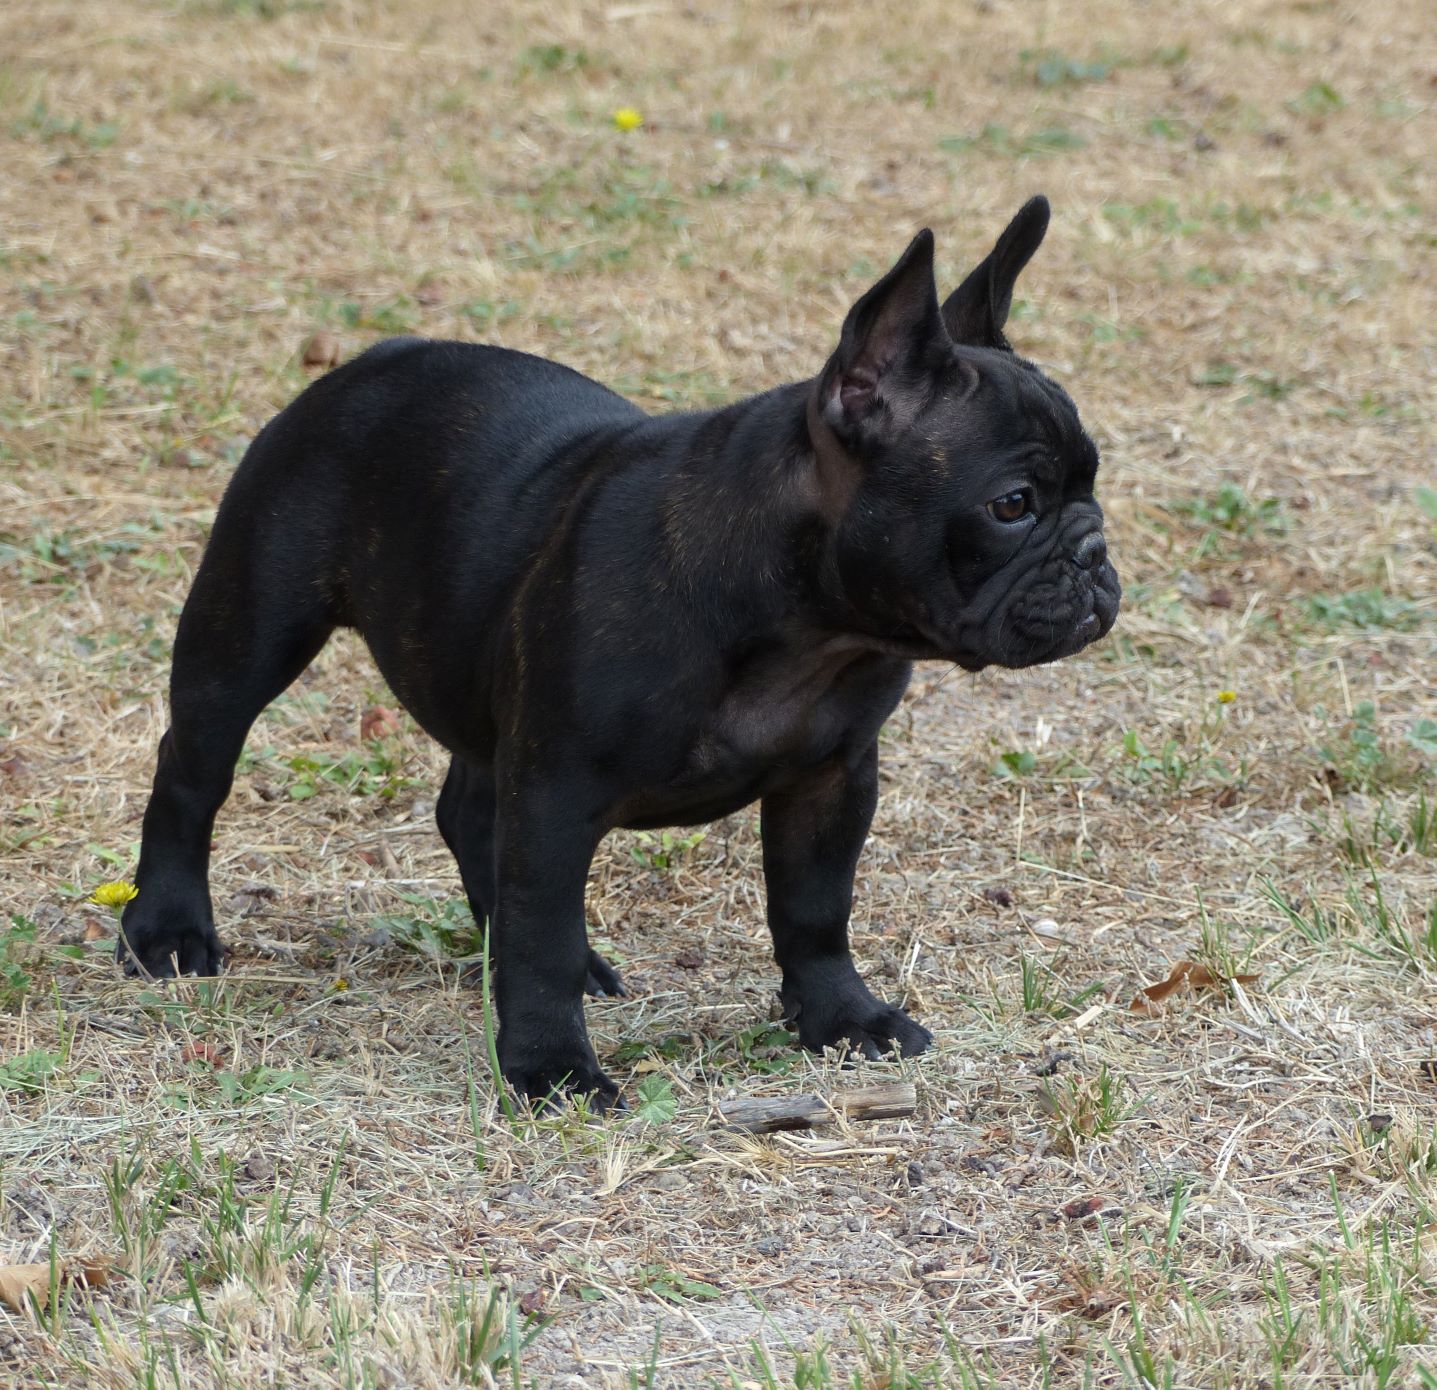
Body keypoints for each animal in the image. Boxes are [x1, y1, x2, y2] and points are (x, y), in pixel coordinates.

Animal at [117, 198, 1115, 1109]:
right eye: (1013, 505)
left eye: (1092, 483)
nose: (1095, 554)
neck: (806, 627)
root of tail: (373, 357)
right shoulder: (558, 792)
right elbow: (544, 935)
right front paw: (550, 1068)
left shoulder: (831, 780)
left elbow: (814, 911)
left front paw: (842, 1018)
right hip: (245, 637)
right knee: (192, 771)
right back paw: (165, 931)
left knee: (468, 808)